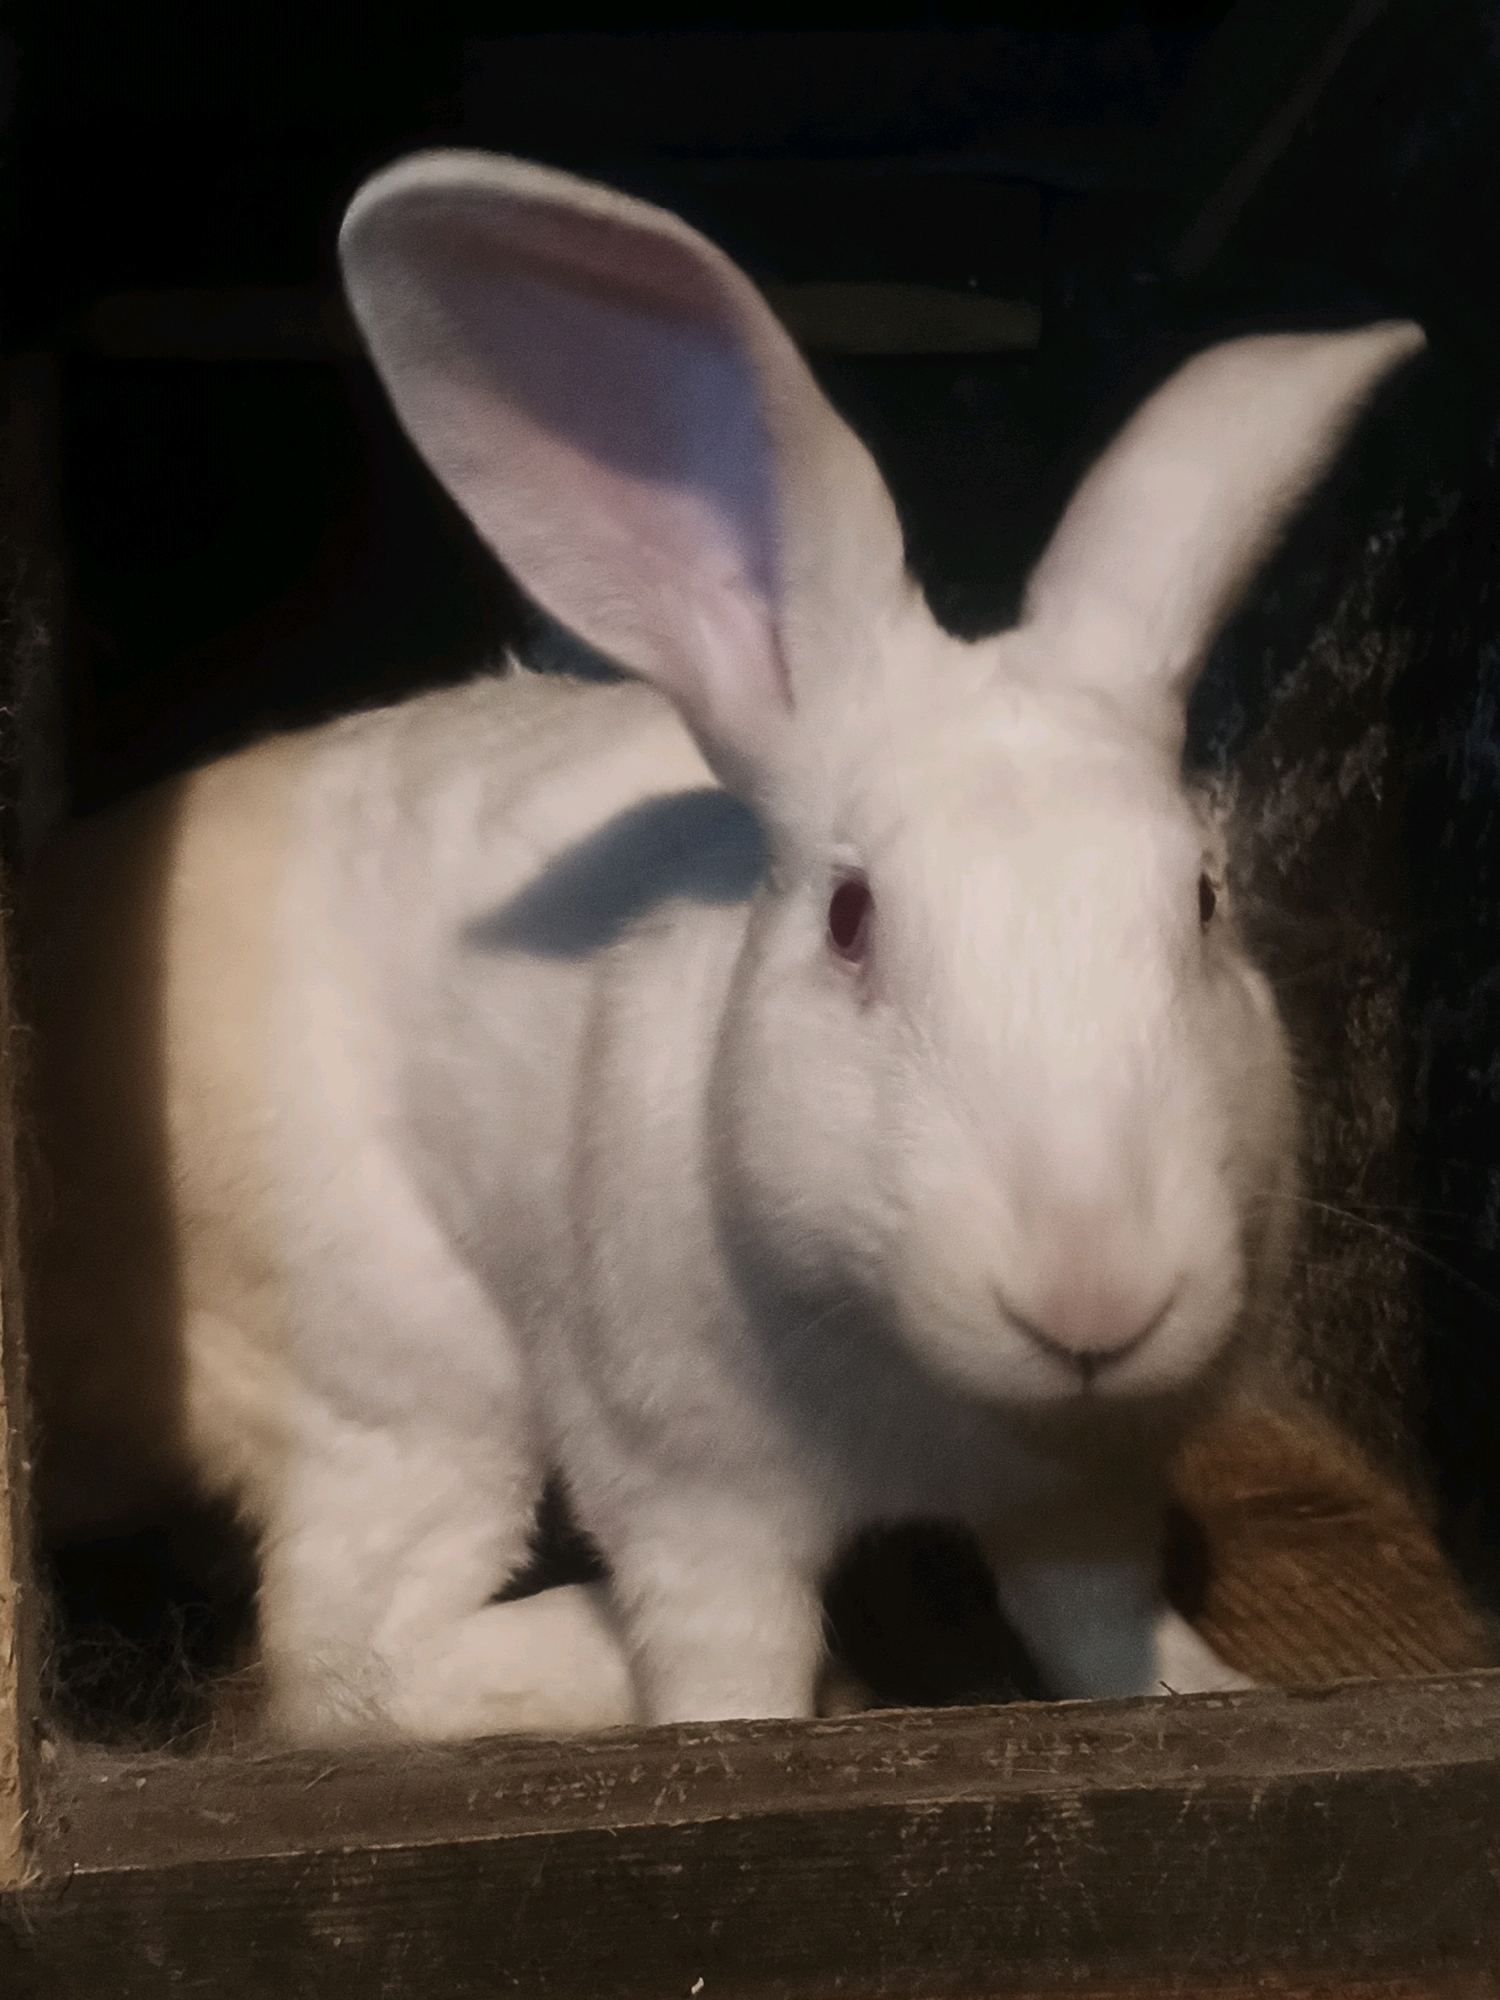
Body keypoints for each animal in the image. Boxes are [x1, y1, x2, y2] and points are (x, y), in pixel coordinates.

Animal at [25, 148, 1425, 1745]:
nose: (1095, 1296)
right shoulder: (699, 1503)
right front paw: (768, 1705)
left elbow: (1095, 1626)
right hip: (402, 1371)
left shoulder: (1089, 1491)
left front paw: (1210, 1688)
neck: (937, 1401)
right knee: (344, 1664)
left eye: (1200, 898)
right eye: (851, 920)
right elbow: (726, 1681)